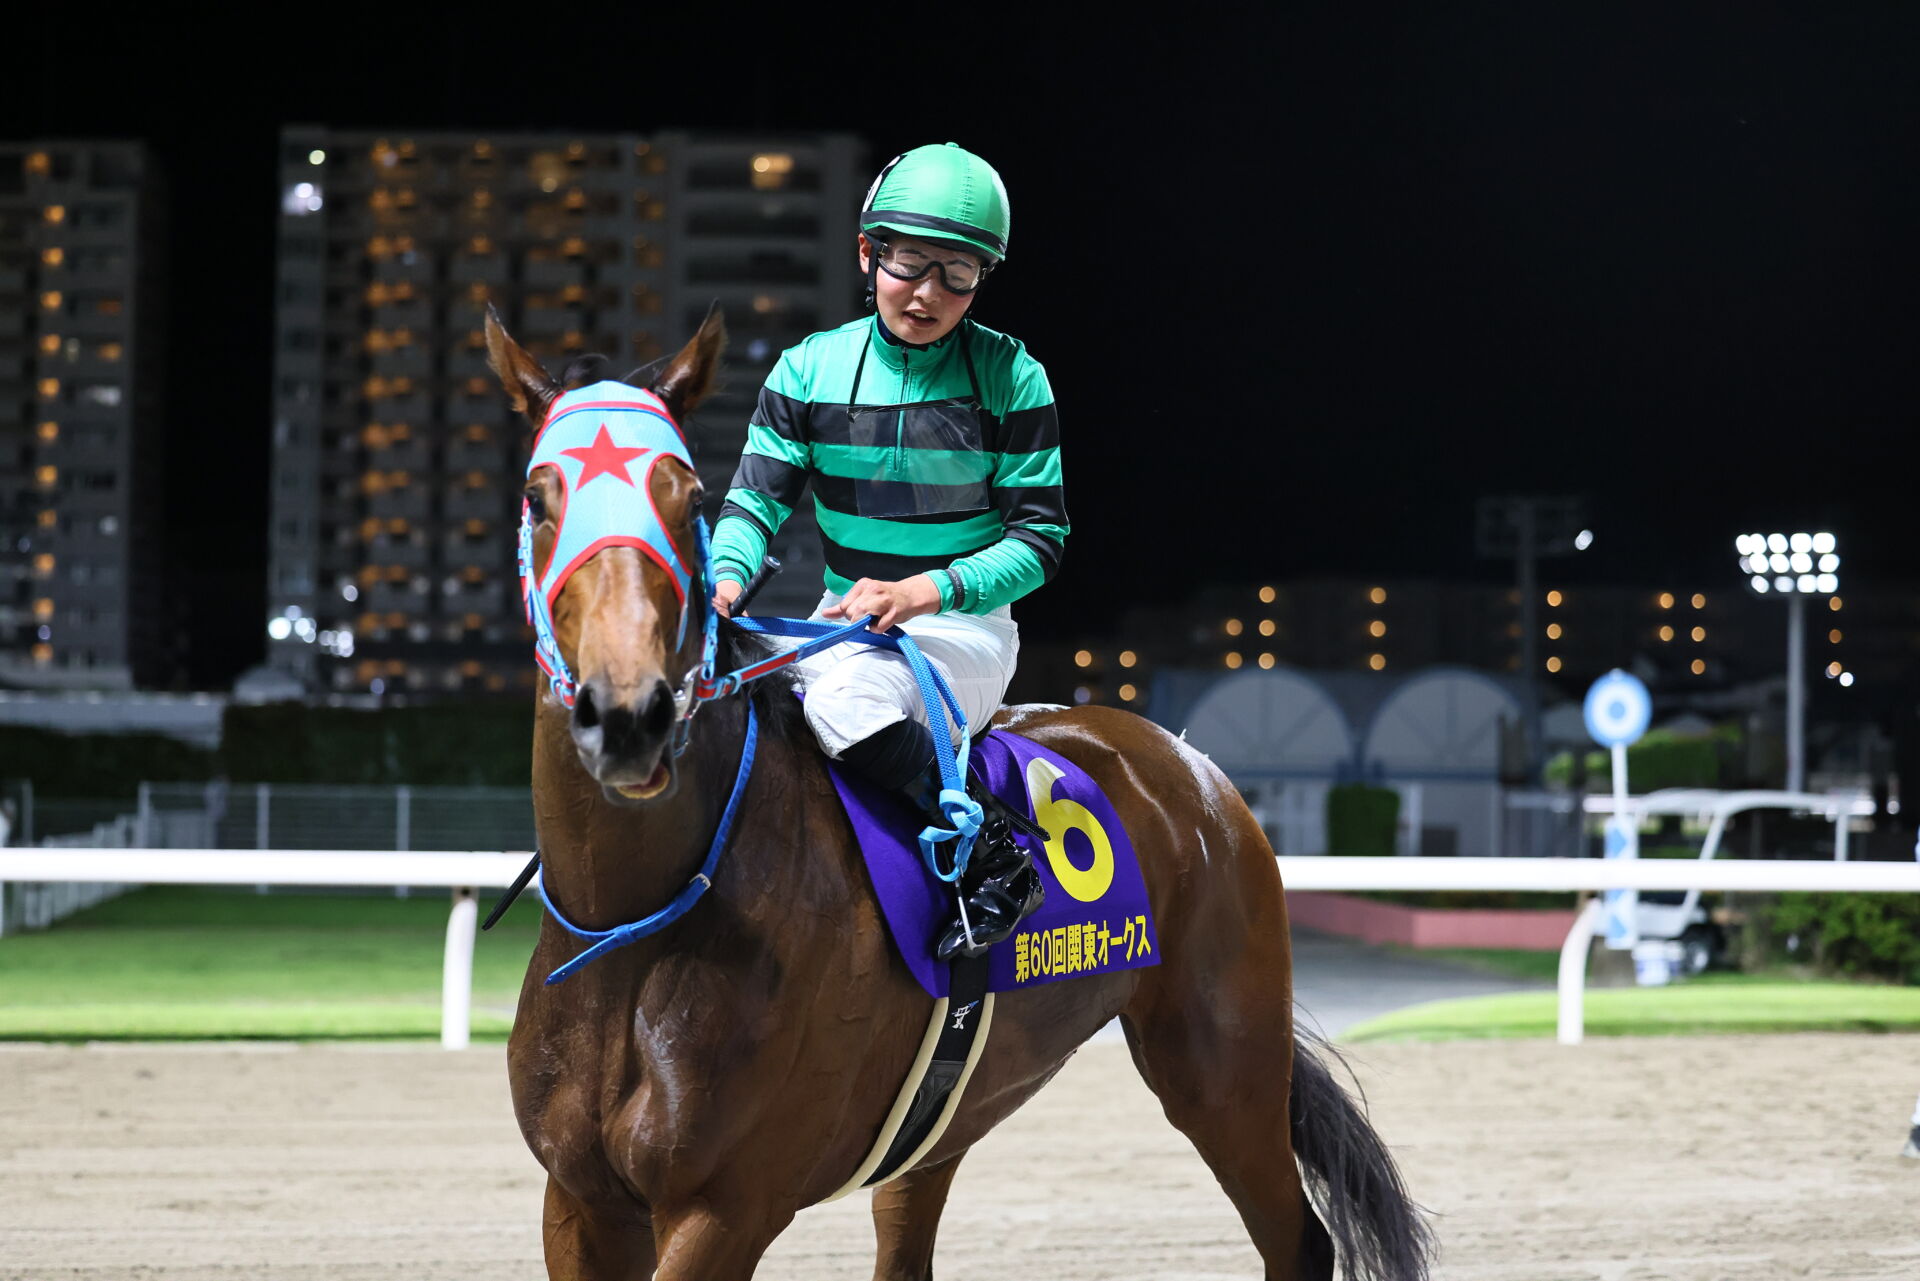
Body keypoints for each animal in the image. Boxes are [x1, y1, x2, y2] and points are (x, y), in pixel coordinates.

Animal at [487, 311, 1436, 1281]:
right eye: (538, 496)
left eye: (686, 499)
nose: (630, 714)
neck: (631, 927)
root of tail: (1197, 769)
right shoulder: (579, 1201)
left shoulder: (725, 1208)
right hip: (950, 1108)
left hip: (1222, 1065)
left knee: (1299, 1234)